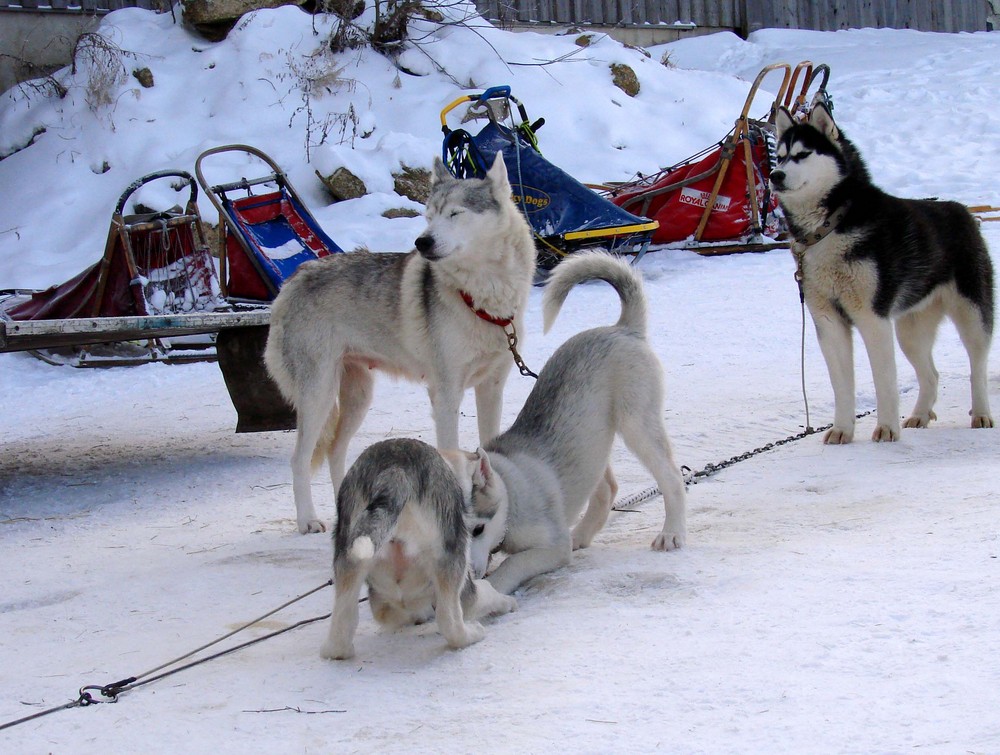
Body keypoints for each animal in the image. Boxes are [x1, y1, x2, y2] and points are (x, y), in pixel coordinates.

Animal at [262, 154, 536, 536]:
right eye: (429, 215)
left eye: (455, 214)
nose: (423, 242)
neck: (483, 300)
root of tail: (291, 281)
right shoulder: (446, 395)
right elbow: (452, 457)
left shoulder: (491, 389)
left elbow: (488, 447)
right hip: (318, 397)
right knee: (300, 459)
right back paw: (308, 521)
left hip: (358, 398)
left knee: (335, 451)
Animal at [322, 438, 516, 660]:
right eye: (477, 530)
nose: (475, 571)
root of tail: (395, 471)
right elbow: (489, 592)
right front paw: (508, 602)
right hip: (450, 561)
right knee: (450, 622)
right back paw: (472, 633)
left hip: (349, 564)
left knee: (340, 634)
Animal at [448, 254, 688, 596]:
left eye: (479, 530)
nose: (467, 577)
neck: (510, 494)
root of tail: (622, 329)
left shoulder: (552, 547)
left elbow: (512, 565)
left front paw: (489, 590)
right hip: (594, 443)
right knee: (607, 488)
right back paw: (582, 535)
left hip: (637, 424)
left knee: (671, 477)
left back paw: (672, 532)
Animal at [764, 103, 992, 440]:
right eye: (779, 156)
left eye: (803, 154)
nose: (775, 175)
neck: (832, 226)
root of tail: (963, 210)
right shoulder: (829, 322)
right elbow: (841, 386)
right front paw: (842, 430)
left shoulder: (873, 319)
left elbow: (884, 381)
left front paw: (886, 428)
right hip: (910, 332)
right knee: (931, 374)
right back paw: (919, 415)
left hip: (972, 316)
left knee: (978, 366)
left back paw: (981, 413)